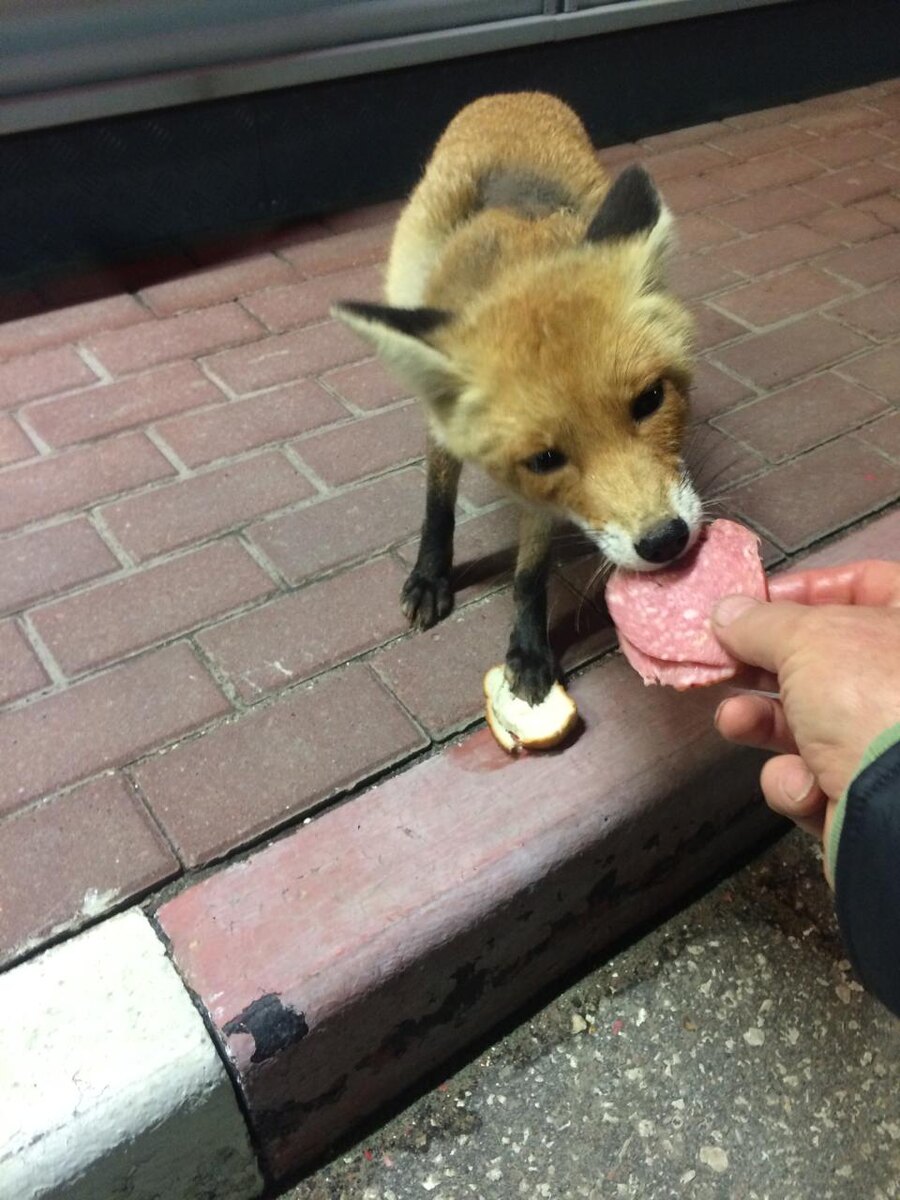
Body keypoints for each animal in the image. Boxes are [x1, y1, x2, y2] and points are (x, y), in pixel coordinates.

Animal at [336, 98, 700, 705]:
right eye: (546, 457)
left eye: (651, 400)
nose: (666, 541)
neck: (519, 261)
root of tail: (513, 93)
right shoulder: (457, 430)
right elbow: (437, 505)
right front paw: (431, 576)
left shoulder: (540, 500)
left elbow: (530, 574)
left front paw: (529, 649)